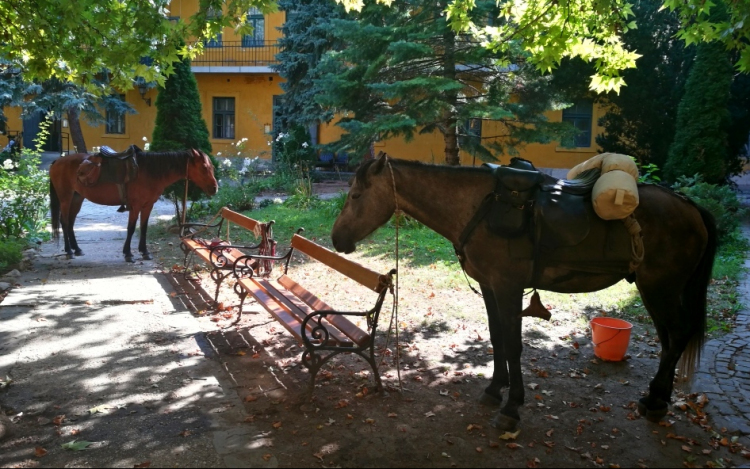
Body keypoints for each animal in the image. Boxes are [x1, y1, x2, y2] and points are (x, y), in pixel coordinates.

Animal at [50, 148, 217, 262]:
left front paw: (144, 252)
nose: (214, 188)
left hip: (77, 198)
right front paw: (128, 254)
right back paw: (69, 251)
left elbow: (143, 228)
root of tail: (58, 161)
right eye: (204, 167)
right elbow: (131, 229)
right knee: (64, 222)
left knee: (71, 222)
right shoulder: (135, 206)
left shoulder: (148, 206)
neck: (149, 171)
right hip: (65, 198)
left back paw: (76, 249)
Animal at [332, 154, 720, 432]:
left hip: (661, 288)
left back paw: (655, 402)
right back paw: (657, 397)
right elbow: (497, 338)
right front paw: (494, 390)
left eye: (355, 195)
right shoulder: (490, 286)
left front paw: (512, 407)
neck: (477, 208)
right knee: (669, 340)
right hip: (655, 290)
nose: (336, 239)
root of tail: (691, 206)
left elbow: (514, 345)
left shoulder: (508, 286)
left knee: (678, 335)